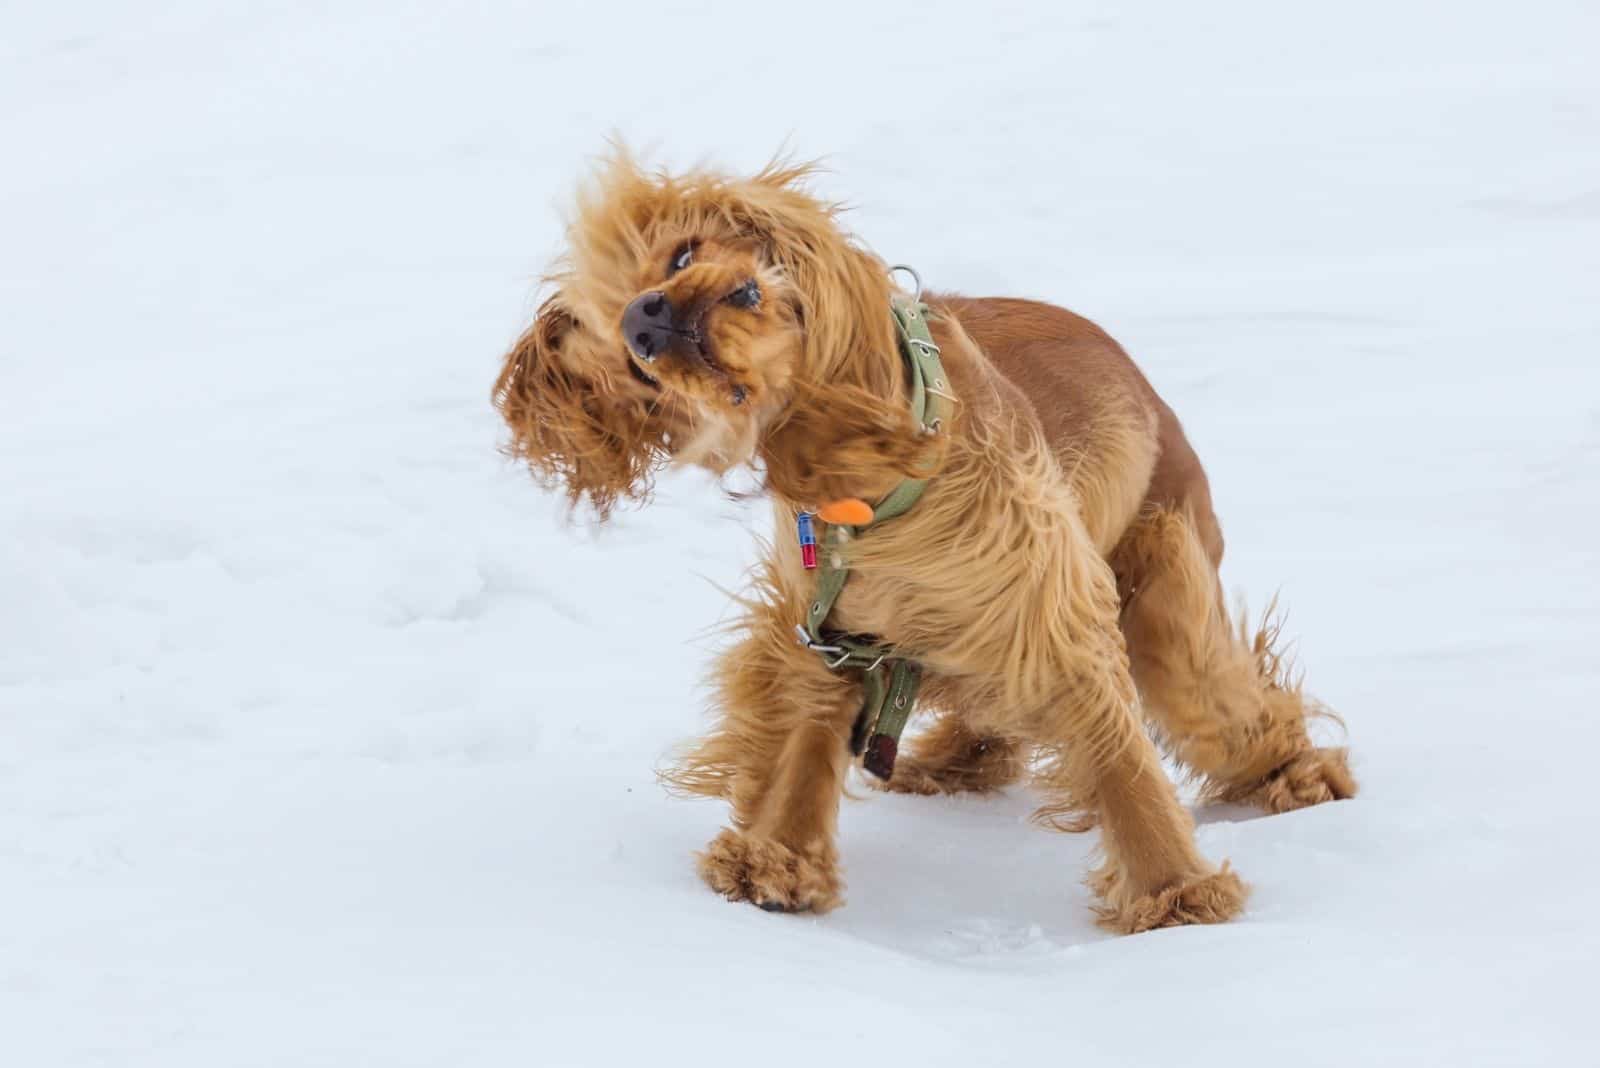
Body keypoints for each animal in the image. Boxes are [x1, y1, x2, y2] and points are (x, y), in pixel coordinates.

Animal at [492, 154, 1356, 927]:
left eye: (680, 255)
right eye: (634, 367)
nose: (647, 315)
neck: (866, 468)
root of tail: (1151, 393)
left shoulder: (1051, 607)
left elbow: (1121, 762)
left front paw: (1176, 897)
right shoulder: (829, 631)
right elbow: (803, 746)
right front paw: (777, 862)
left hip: (1166, 588)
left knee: (1225, 702)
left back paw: (1298, 775)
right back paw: (952, 763)